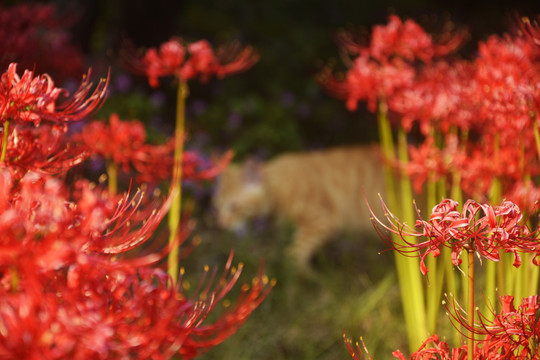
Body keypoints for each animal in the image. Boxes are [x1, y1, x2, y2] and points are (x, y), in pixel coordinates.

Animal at [213, 143, 386, 270]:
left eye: (234, 207)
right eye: (217, 207)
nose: (221, 224)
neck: (279, 189)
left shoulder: (322, 221)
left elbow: (294, 255)